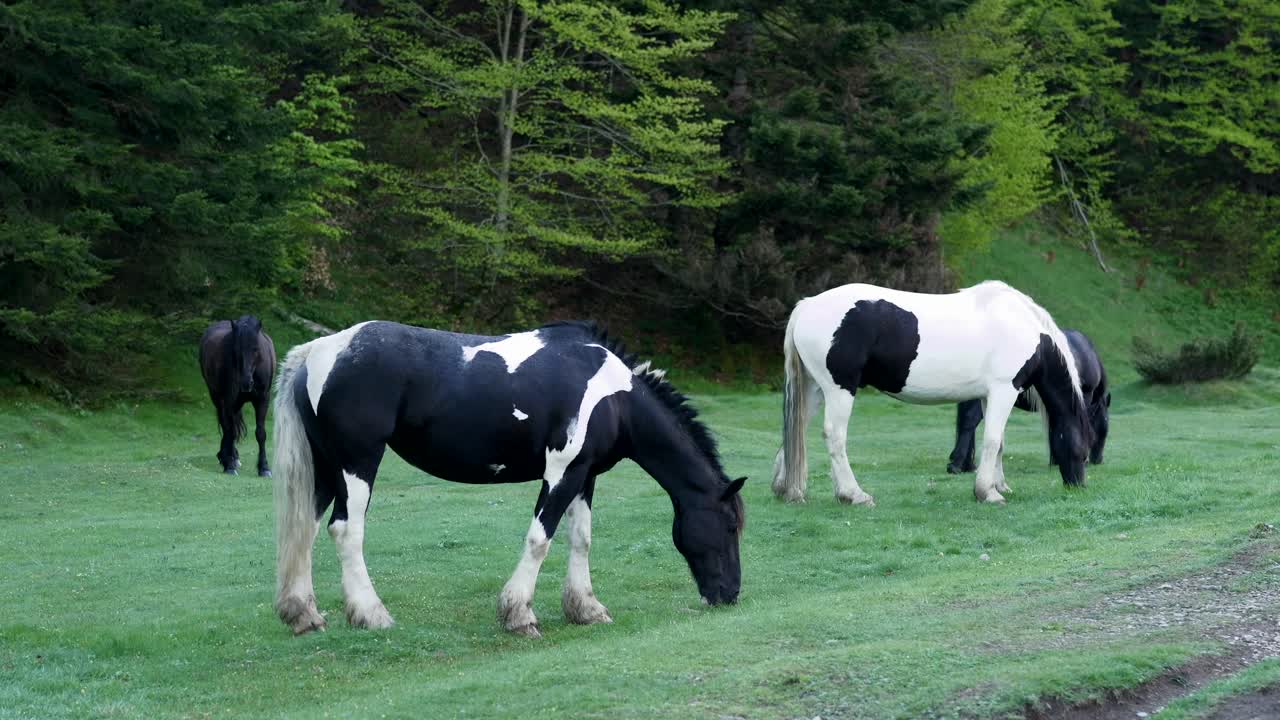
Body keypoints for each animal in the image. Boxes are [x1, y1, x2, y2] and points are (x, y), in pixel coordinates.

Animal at [198, 315, 276, 476]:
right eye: (236, 350)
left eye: (256, 349)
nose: (246, 383)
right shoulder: (228, 401)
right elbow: (230, 431)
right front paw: (229, 465)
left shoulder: (263, 400)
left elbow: (261, 433)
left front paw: (264, 468)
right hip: (217, 398)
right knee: (226, 426)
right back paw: (228, 457)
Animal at [272, 320, 746, 637]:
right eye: (729, 526)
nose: (730, 594)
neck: (612, 395)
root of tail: (318, 352)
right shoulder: (560, 472)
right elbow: (540, 540)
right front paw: (519, 615)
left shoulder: (583, 476)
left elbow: (581, 539)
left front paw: (586, 609)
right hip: (358, 465)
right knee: (346, 530)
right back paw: (372, 614)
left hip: (326, 469)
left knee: (305, 531)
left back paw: (305, 615)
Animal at [770, 281, 1093, 506]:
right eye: (1083, 450)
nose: (1078, 486)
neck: (1024, 326)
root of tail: (807, 306)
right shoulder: (1004, 390)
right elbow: (992, 440)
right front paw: (987, 492)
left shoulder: (990, 395)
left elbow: (999, 443)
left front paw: (999, 485)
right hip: (839, 390)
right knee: (834, 436)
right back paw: (854, 494)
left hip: (814, 389)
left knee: (797, 428)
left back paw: (790, 490)